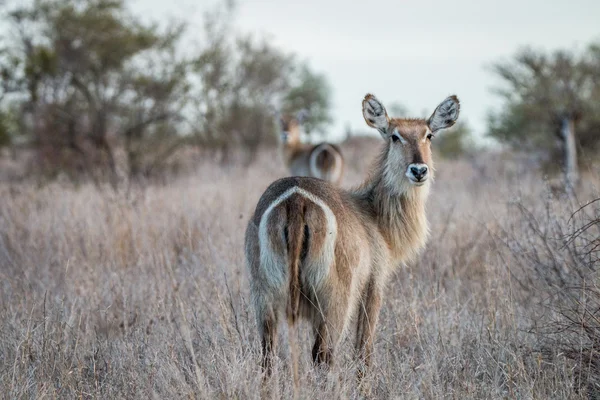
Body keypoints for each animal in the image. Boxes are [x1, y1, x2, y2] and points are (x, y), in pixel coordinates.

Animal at [244, 92, 460, 380]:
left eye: (429, 135)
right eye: (395, 136)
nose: (418, 170)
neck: (374, 214)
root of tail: (296, 198)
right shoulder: (375, 284)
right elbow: (364, 351)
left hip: (264, 293)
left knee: (267, 355)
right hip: (336, 298)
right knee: (323, 353)